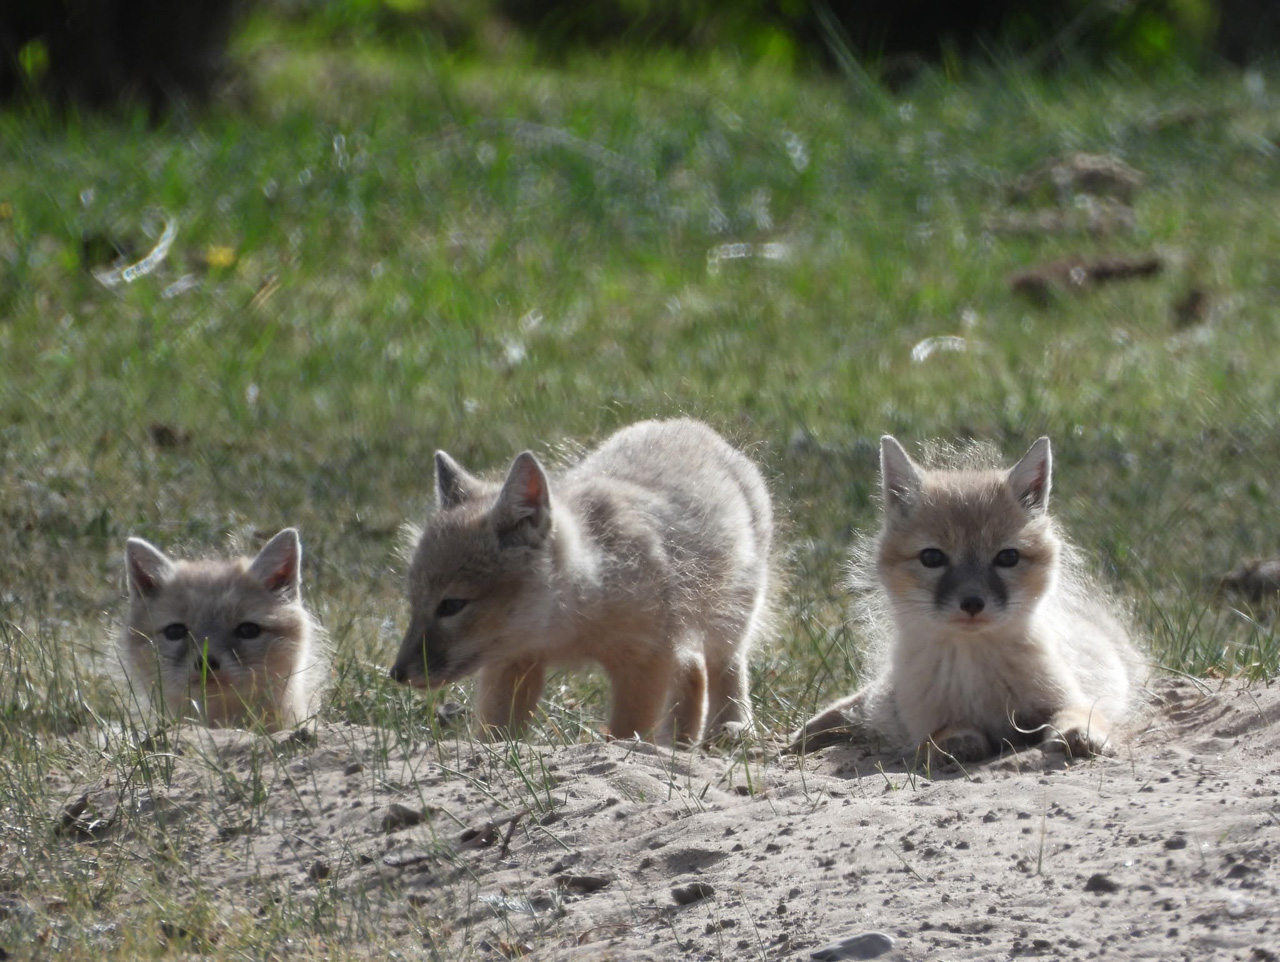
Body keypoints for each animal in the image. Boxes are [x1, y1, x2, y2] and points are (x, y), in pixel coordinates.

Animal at [389, 418, 774, 746]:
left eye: (451, 605)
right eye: (414, 602)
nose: (396, 674)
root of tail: (688, 425)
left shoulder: (645, 662)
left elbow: (625, 736)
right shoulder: (515, 662)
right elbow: (496, 737)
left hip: (729, 625)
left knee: (724, 669)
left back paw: (733, 728)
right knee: (694, 670)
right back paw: (680, 743)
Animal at [791, 435, 1140, 763]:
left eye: (1008, 557)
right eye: (932, 557)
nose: (972, 603)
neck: (974, 672)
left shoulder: (1071, 698)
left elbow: (1077, 714)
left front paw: (1080, 733)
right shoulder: (926, 722)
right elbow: (945, 732)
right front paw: (956, 743)